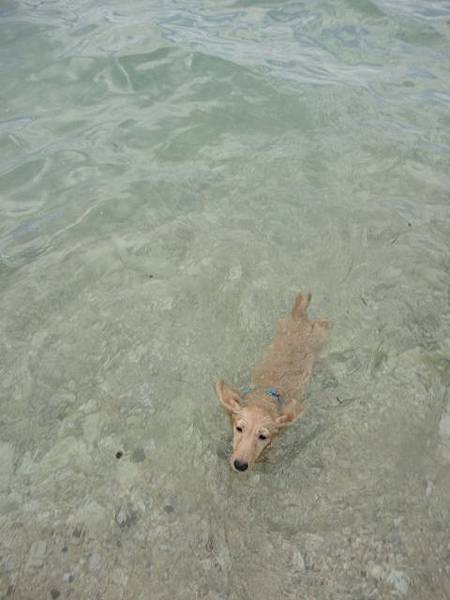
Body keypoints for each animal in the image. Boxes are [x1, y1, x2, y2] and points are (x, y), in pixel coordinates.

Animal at [216, 294, 328, 474]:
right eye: (239, 429)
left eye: (263, 436)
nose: (240, 465)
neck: (265, 396)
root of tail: (300, 318)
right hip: (285, 323)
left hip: (319, 336)